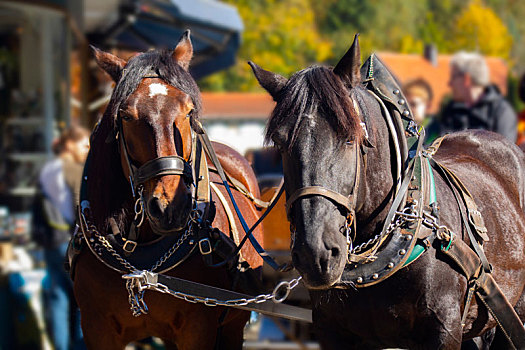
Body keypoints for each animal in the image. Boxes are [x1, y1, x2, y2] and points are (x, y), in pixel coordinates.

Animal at [70, 30, 262, 350]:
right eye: (126, 115)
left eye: (189, 110)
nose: (171, 207)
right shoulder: (96, 329)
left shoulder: (198, 328)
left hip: (234, 326)